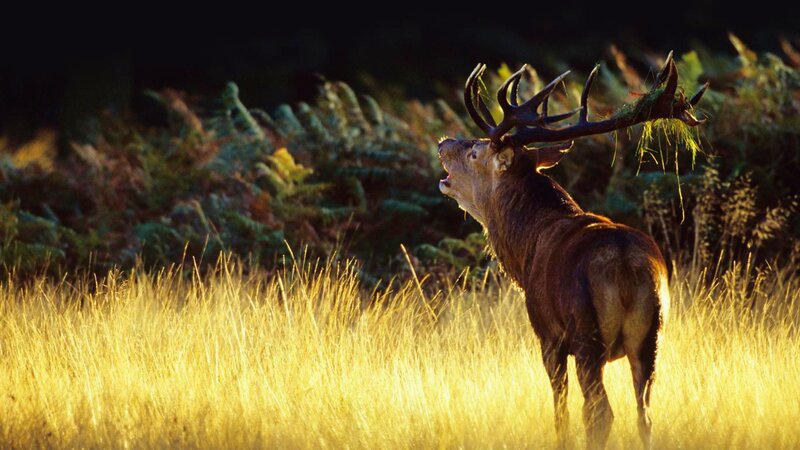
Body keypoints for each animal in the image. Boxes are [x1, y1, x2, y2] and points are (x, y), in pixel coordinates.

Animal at [437, 53, 707, 449]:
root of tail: (627, 267)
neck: (524, 251)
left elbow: (560, 410)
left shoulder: (547, 333)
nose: (443, 143)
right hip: (652, 333)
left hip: (586, 335)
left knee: (599, 412)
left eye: (474, 152)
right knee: (644, 414)